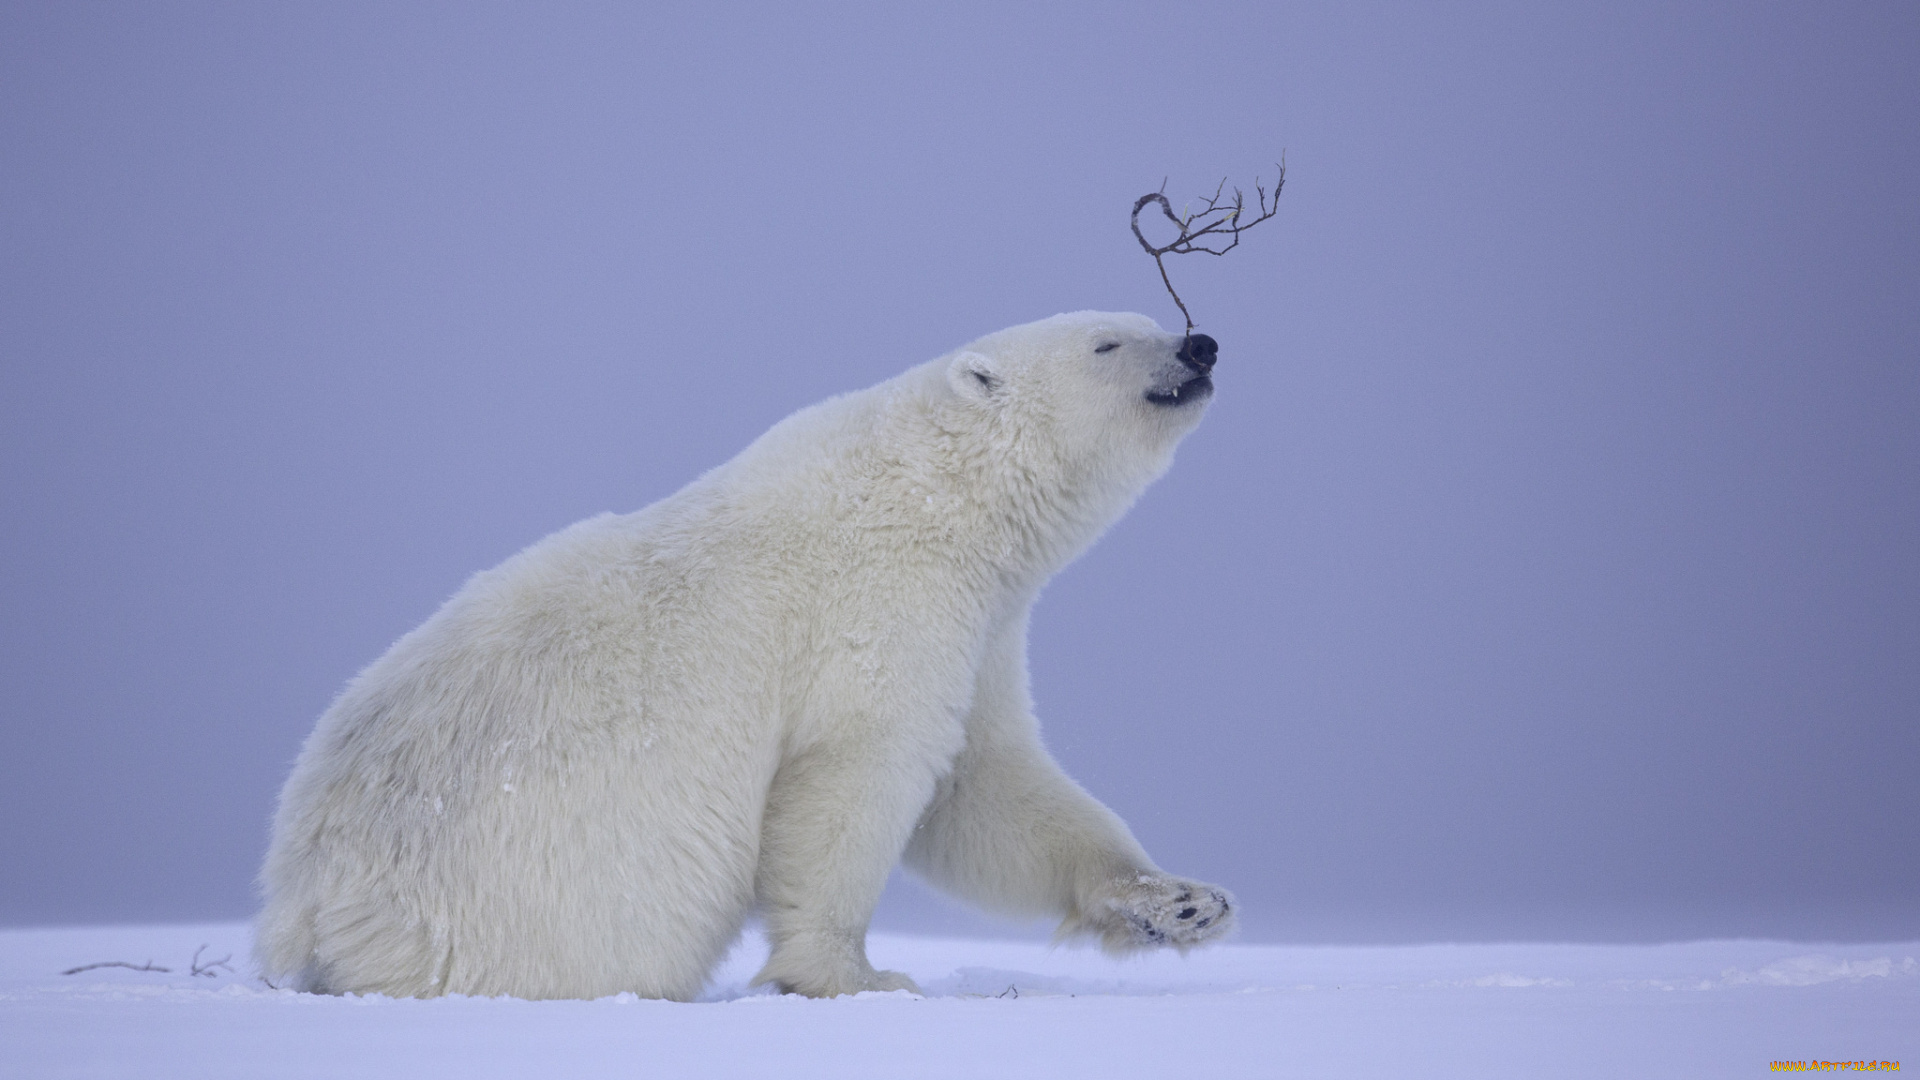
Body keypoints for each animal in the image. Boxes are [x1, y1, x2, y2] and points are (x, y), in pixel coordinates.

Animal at [255, 309, 1236, 991]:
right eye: (1108, 342)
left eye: (1148, 318)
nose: (1200, 344)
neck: (939, 498)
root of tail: (299, 895)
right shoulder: (883, 606)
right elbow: (855, 781)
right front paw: (857, 976)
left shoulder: (983, 627)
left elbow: (985, 786)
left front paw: (1182, 901)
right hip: (499, 904)